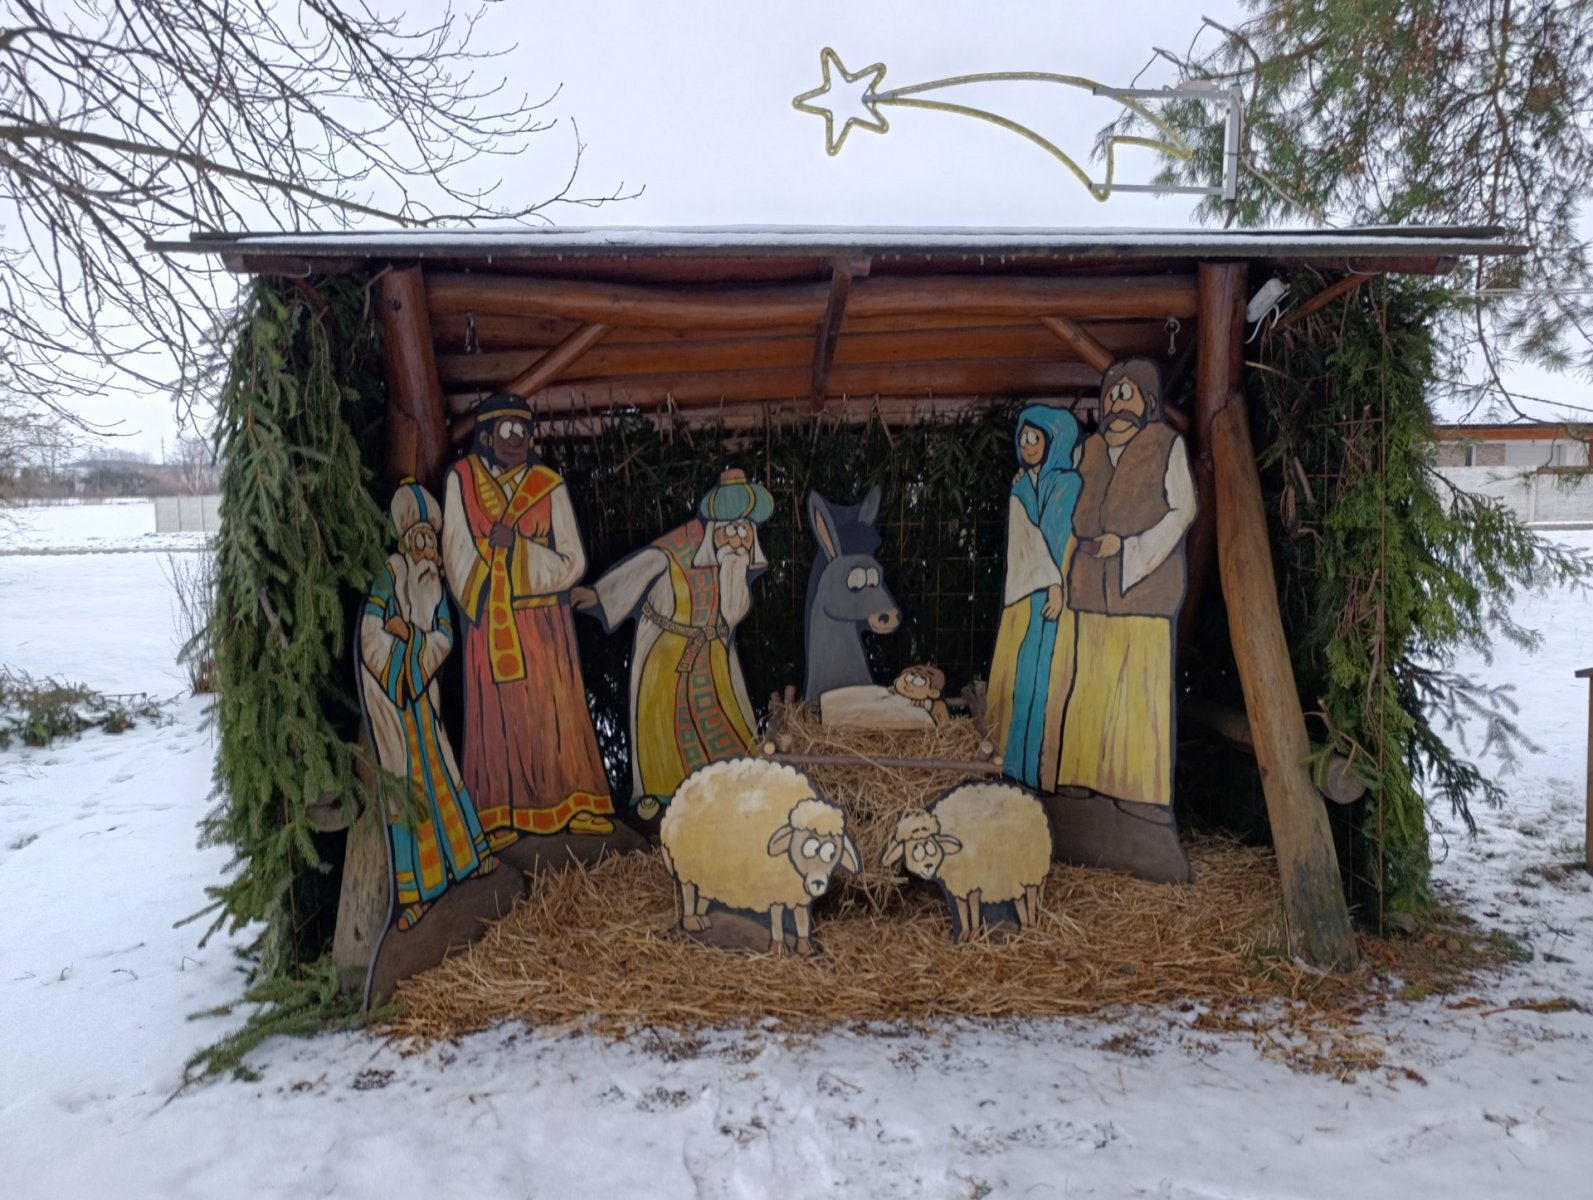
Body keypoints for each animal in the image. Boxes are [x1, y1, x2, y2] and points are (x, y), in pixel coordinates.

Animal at [660, 758, 860, 956]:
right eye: (809, 848)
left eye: (832, 853)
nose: (817, 883)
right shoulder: (773, 886)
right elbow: (777, 915)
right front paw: (778, 946)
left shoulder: (797, 889)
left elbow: (801, 916)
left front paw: (805, 947)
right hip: (686, 862)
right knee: (687, 889)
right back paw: (691, 921)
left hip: (708, 868)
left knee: (704, 892)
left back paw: (702, 917)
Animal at [881, 782, 1053, 942]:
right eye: (912, 849)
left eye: (930, 847)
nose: (927, 867)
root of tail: (1032, 800)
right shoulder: (957, 884)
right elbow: (962, 908)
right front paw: (965, 934)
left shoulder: (973, 879)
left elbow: (973, 907)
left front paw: (974, 934)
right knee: (1020, 899)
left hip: (1031, 869)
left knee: (1030, 898)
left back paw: (1029, 927)